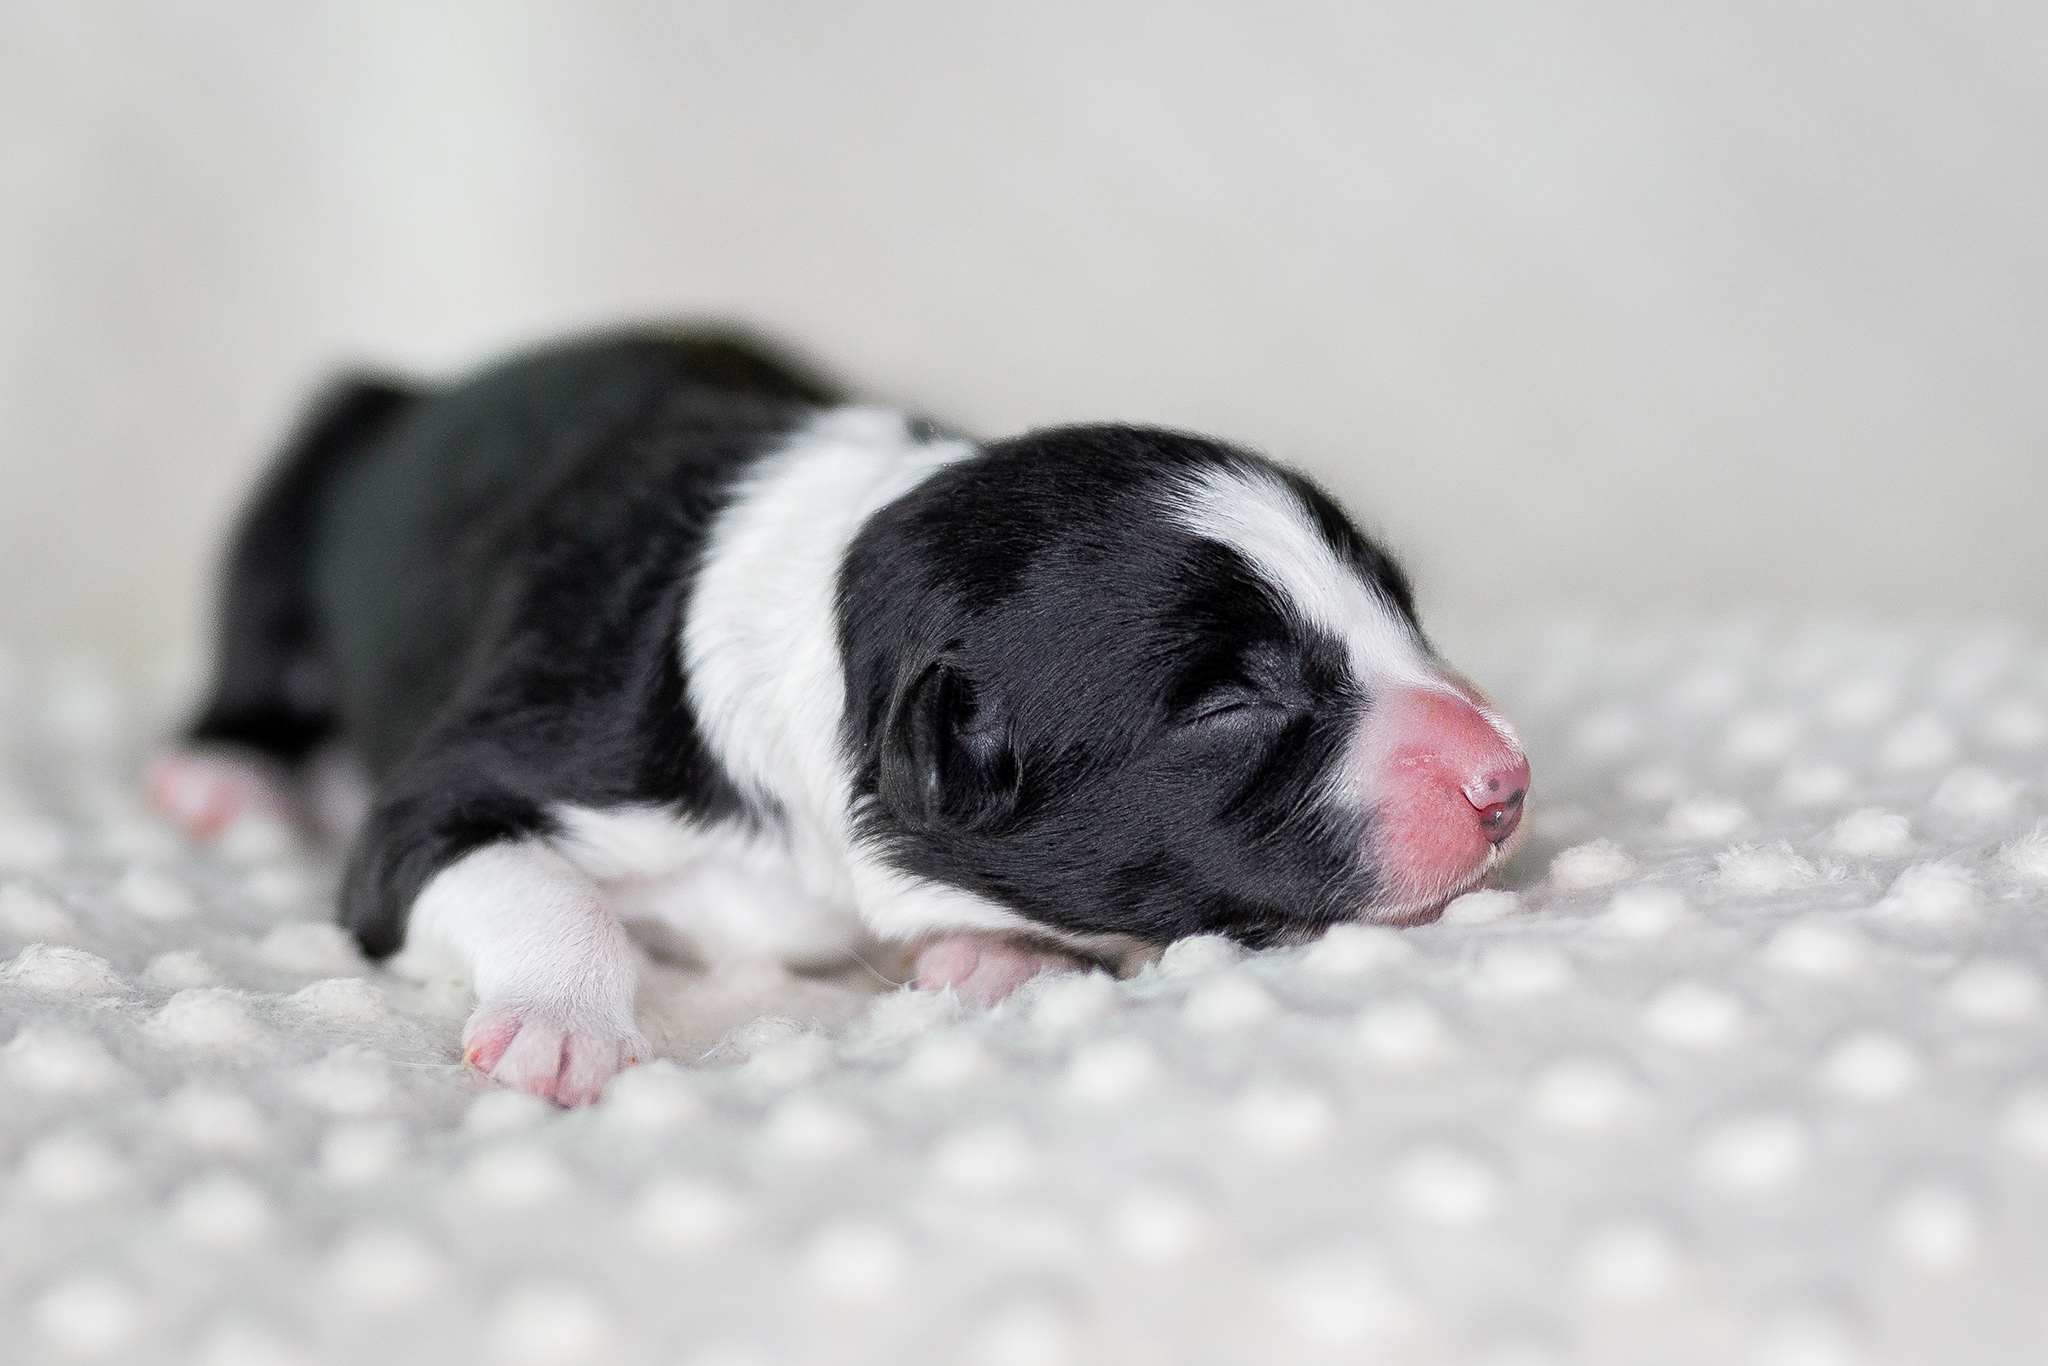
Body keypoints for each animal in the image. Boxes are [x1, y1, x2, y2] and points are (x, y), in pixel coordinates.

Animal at [151, 331, 1531, 1114]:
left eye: (1398, 605)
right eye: (1232, 702)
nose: (1505, 779)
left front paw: (993, 952)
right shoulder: (472, 775)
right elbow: (537, 881)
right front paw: (560, 1023)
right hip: (307, 474)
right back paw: (225, 770)